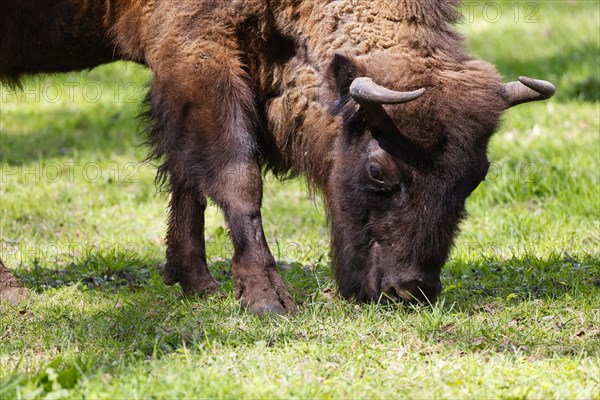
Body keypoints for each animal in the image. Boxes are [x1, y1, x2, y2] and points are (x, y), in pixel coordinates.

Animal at [0, 0, 556, 312]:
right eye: (379, 170)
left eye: (476, 176)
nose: (410, 291)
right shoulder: (198, 51)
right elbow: (235, 176)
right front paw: (268, 300)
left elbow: (187, 177)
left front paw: (196, 282)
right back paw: (13, 293)